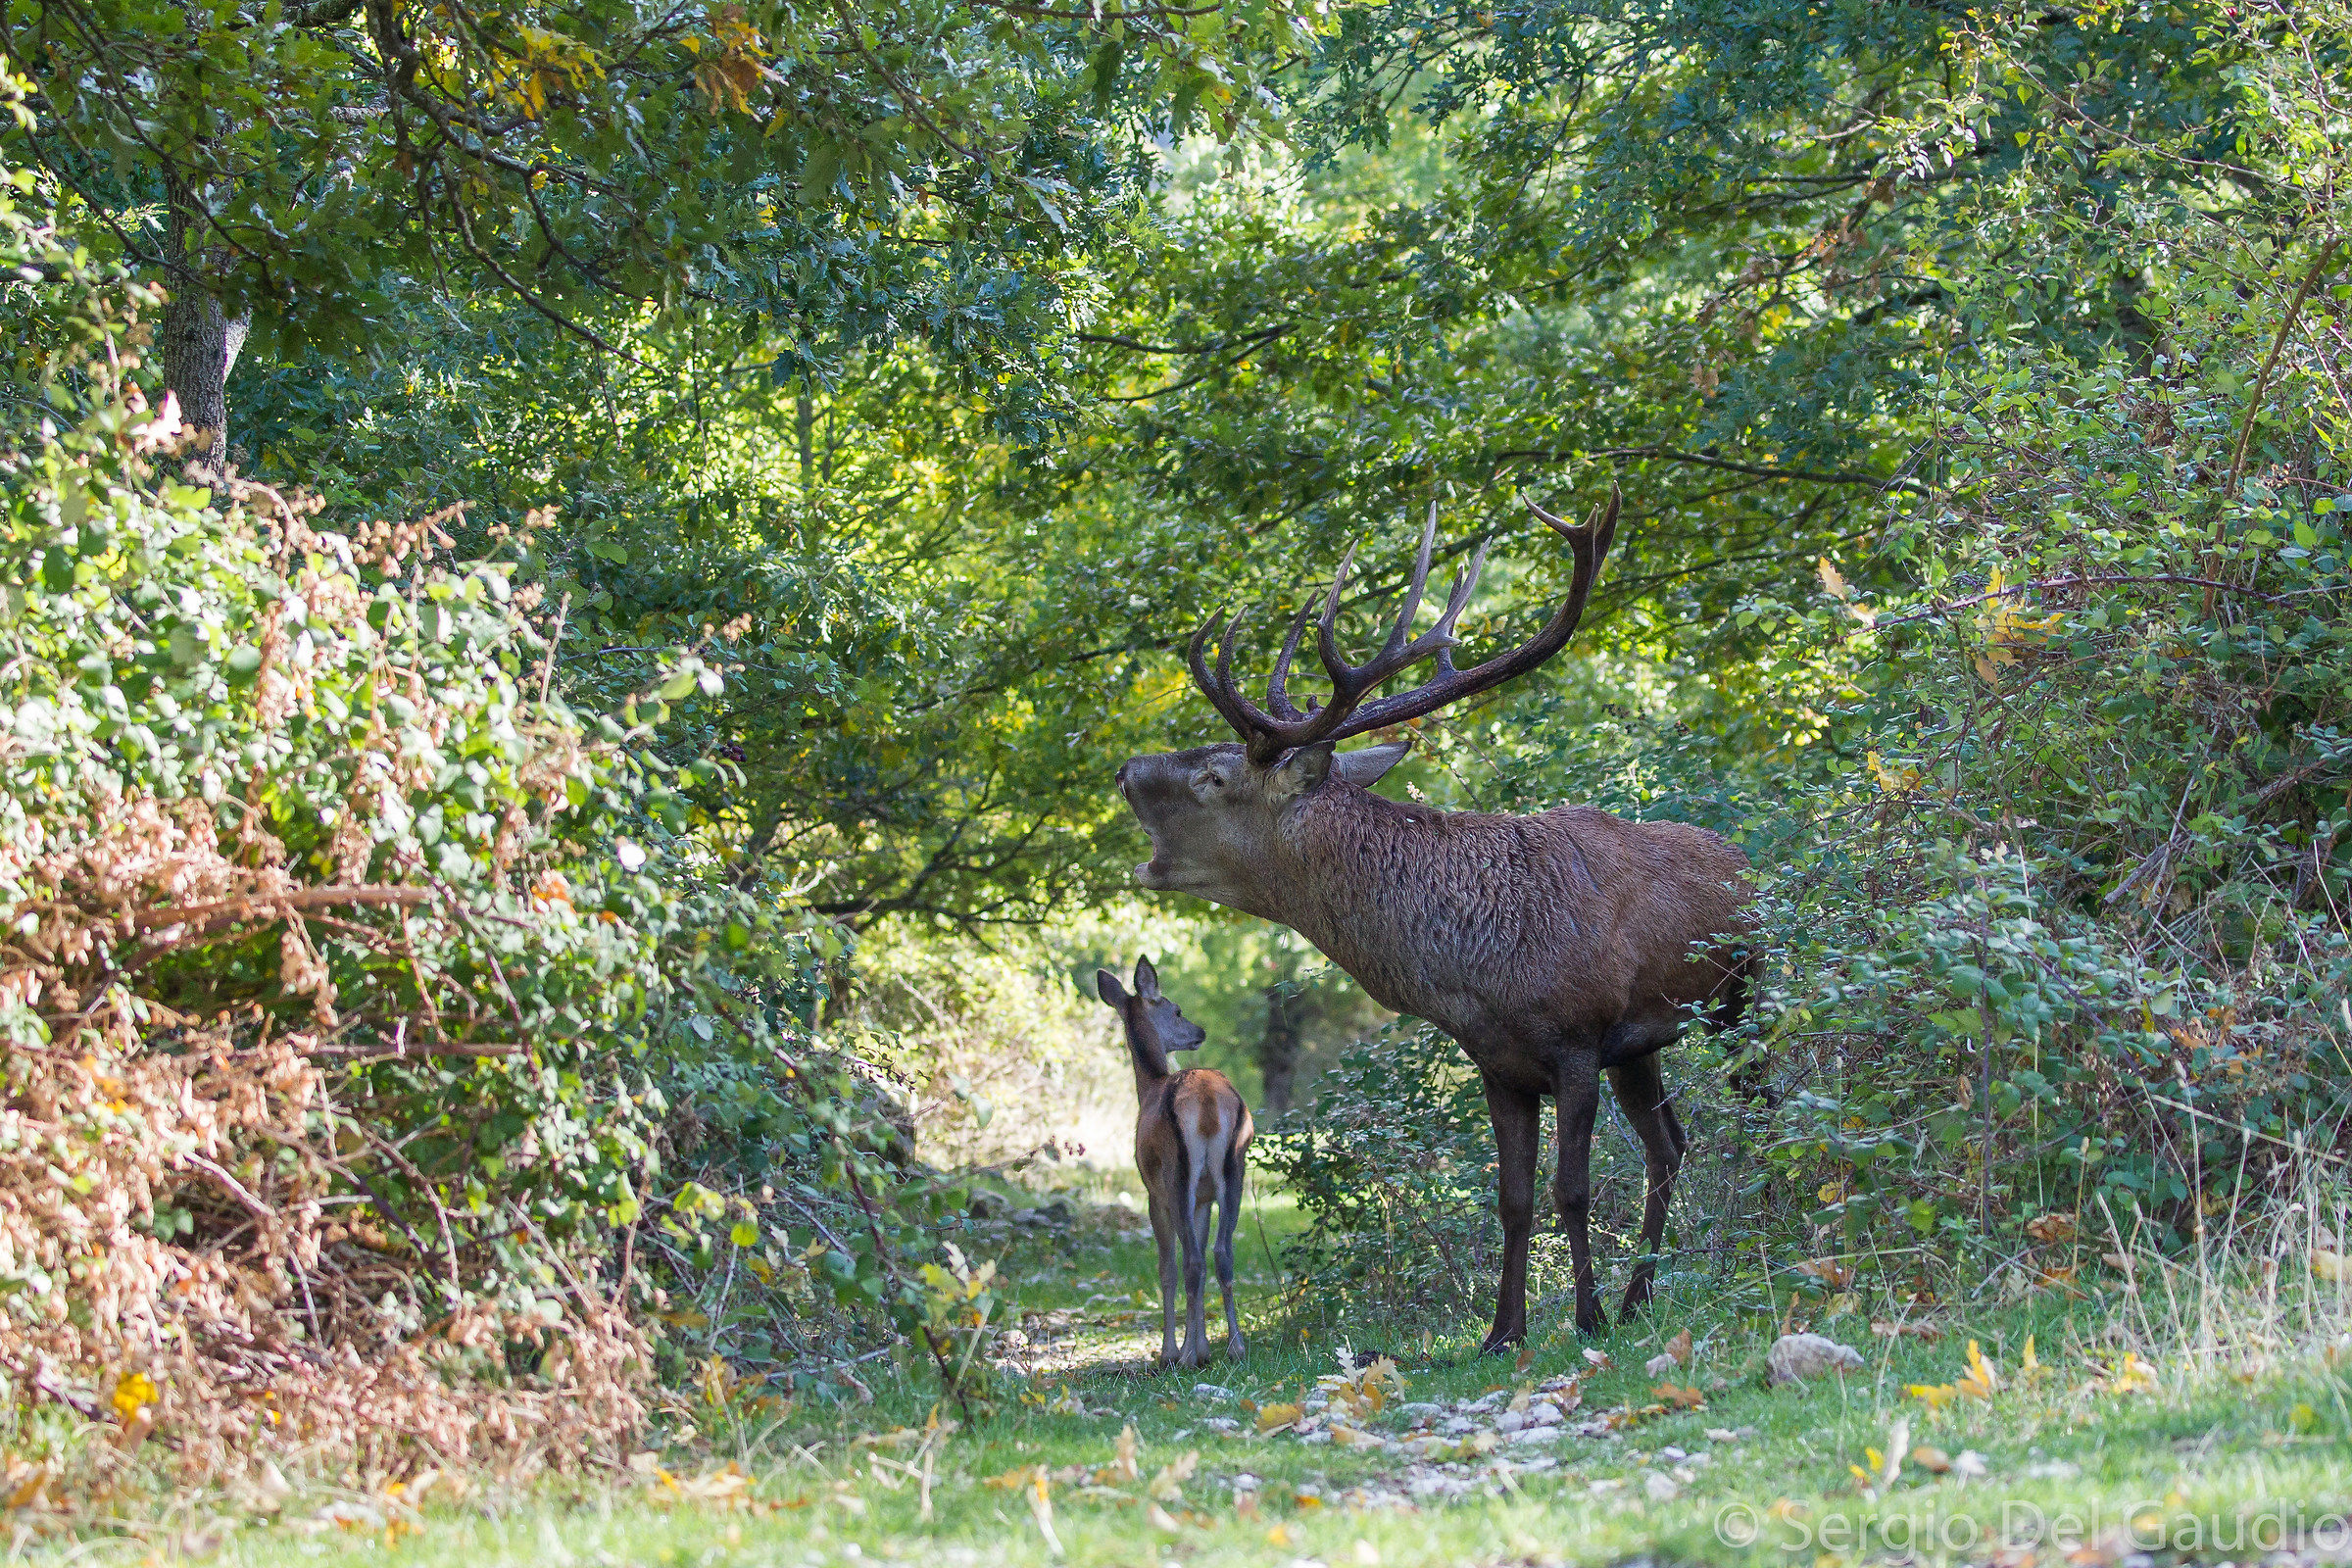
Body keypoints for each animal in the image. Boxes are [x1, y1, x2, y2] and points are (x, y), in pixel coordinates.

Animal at [1095, 955, 1253, 1368]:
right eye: (1177, 1010)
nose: (1200, 1031)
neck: (1148, 1087)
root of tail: (1210, 1102)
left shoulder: (1154, 1193)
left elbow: (1166, 1267)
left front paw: (1172, 1351)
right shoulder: (1202, 1199)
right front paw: (1201, 1347)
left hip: (1176, 1173)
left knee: (1192, 1261)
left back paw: (1182, 1358)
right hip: (1234, 1169)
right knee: (1220, 1253)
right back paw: (1235, 1347)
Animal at [1112, 490, 1758, 1350]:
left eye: (1214, 776)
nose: (1126, 768)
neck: (1471, 974)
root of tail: (1750, 861)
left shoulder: (1577, 1040)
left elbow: (1572, 1190)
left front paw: (1582, 1319)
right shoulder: (1501, 1065)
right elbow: (1513, 1200)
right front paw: (1503, 1332)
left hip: (1743, 998)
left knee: (1761, 1105)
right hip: (1645, 1046)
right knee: (1669, 1147)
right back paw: (1639, 1297)